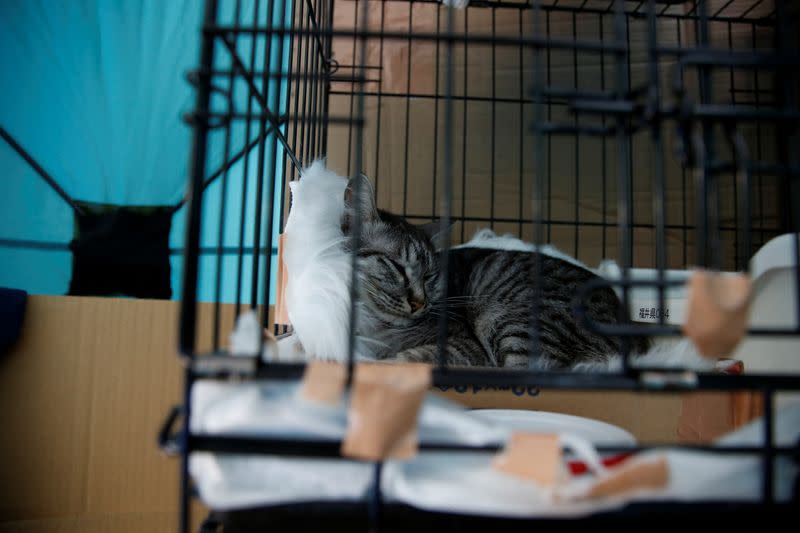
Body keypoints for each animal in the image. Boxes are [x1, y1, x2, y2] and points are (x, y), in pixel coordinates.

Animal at [338, 172, 648, 368]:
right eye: (398, 267)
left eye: (429, 276)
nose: (419, 303)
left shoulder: (464, 346)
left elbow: (407, 359)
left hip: (509, 320)